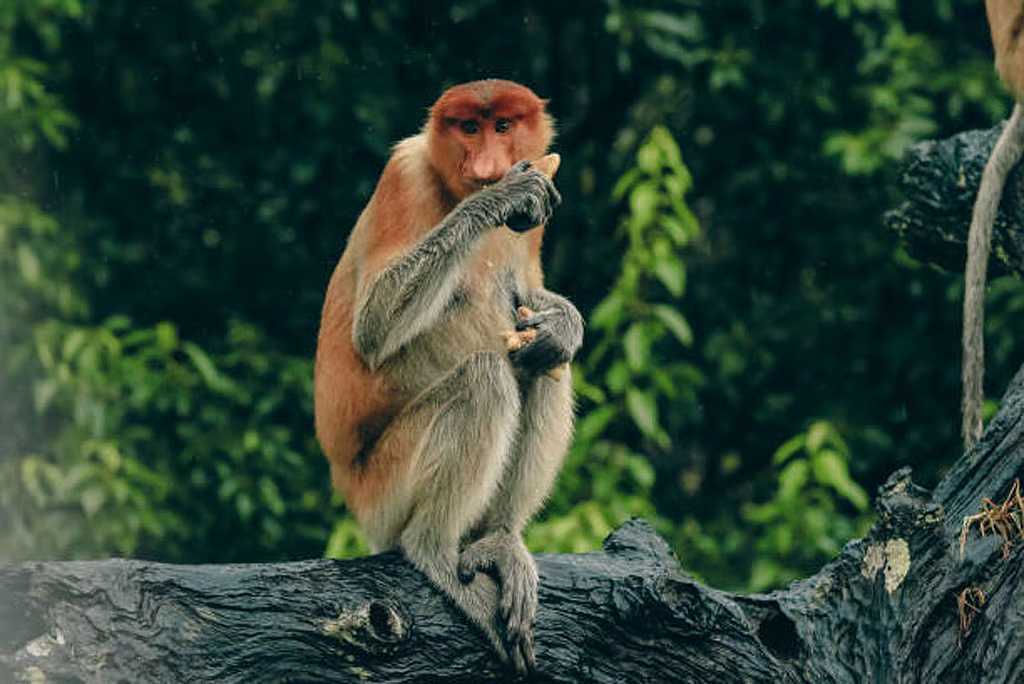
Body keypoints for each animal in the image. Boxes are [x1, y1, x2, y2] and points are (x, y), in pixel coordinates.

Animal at [313, 79, 583, 672]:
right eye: (469, 128)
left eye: (502, 126)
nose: (486, 165)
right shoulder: (404, 177)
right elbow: (373, 326)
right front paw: (504, 195)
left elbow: (529, 301)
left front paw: (564, 324)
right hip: (384, 489)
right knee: (484, 377)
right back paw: (432, 550)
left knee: (539, 367)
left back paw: (500, 540)